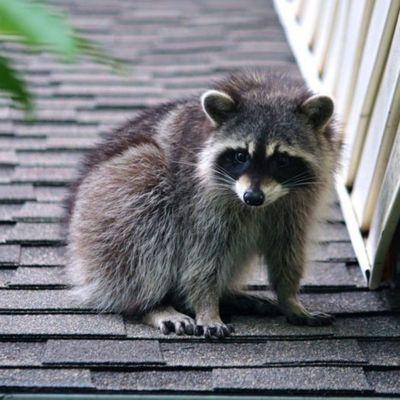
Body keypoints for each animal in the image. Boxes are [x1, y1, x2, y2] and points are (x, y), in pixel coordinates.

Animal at [65, 72, 340, 338]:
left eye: (281, 160)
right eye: (240, 156)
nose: (252, 197)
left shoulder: (298, 204)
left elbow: (288, 249)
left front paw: (290, 298)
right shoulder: (200, 197)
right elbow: (203, 254)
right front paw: (207, 308)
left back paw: (229, 295)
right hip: (106, 206)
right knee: (145, 218)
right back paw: (152, 304)